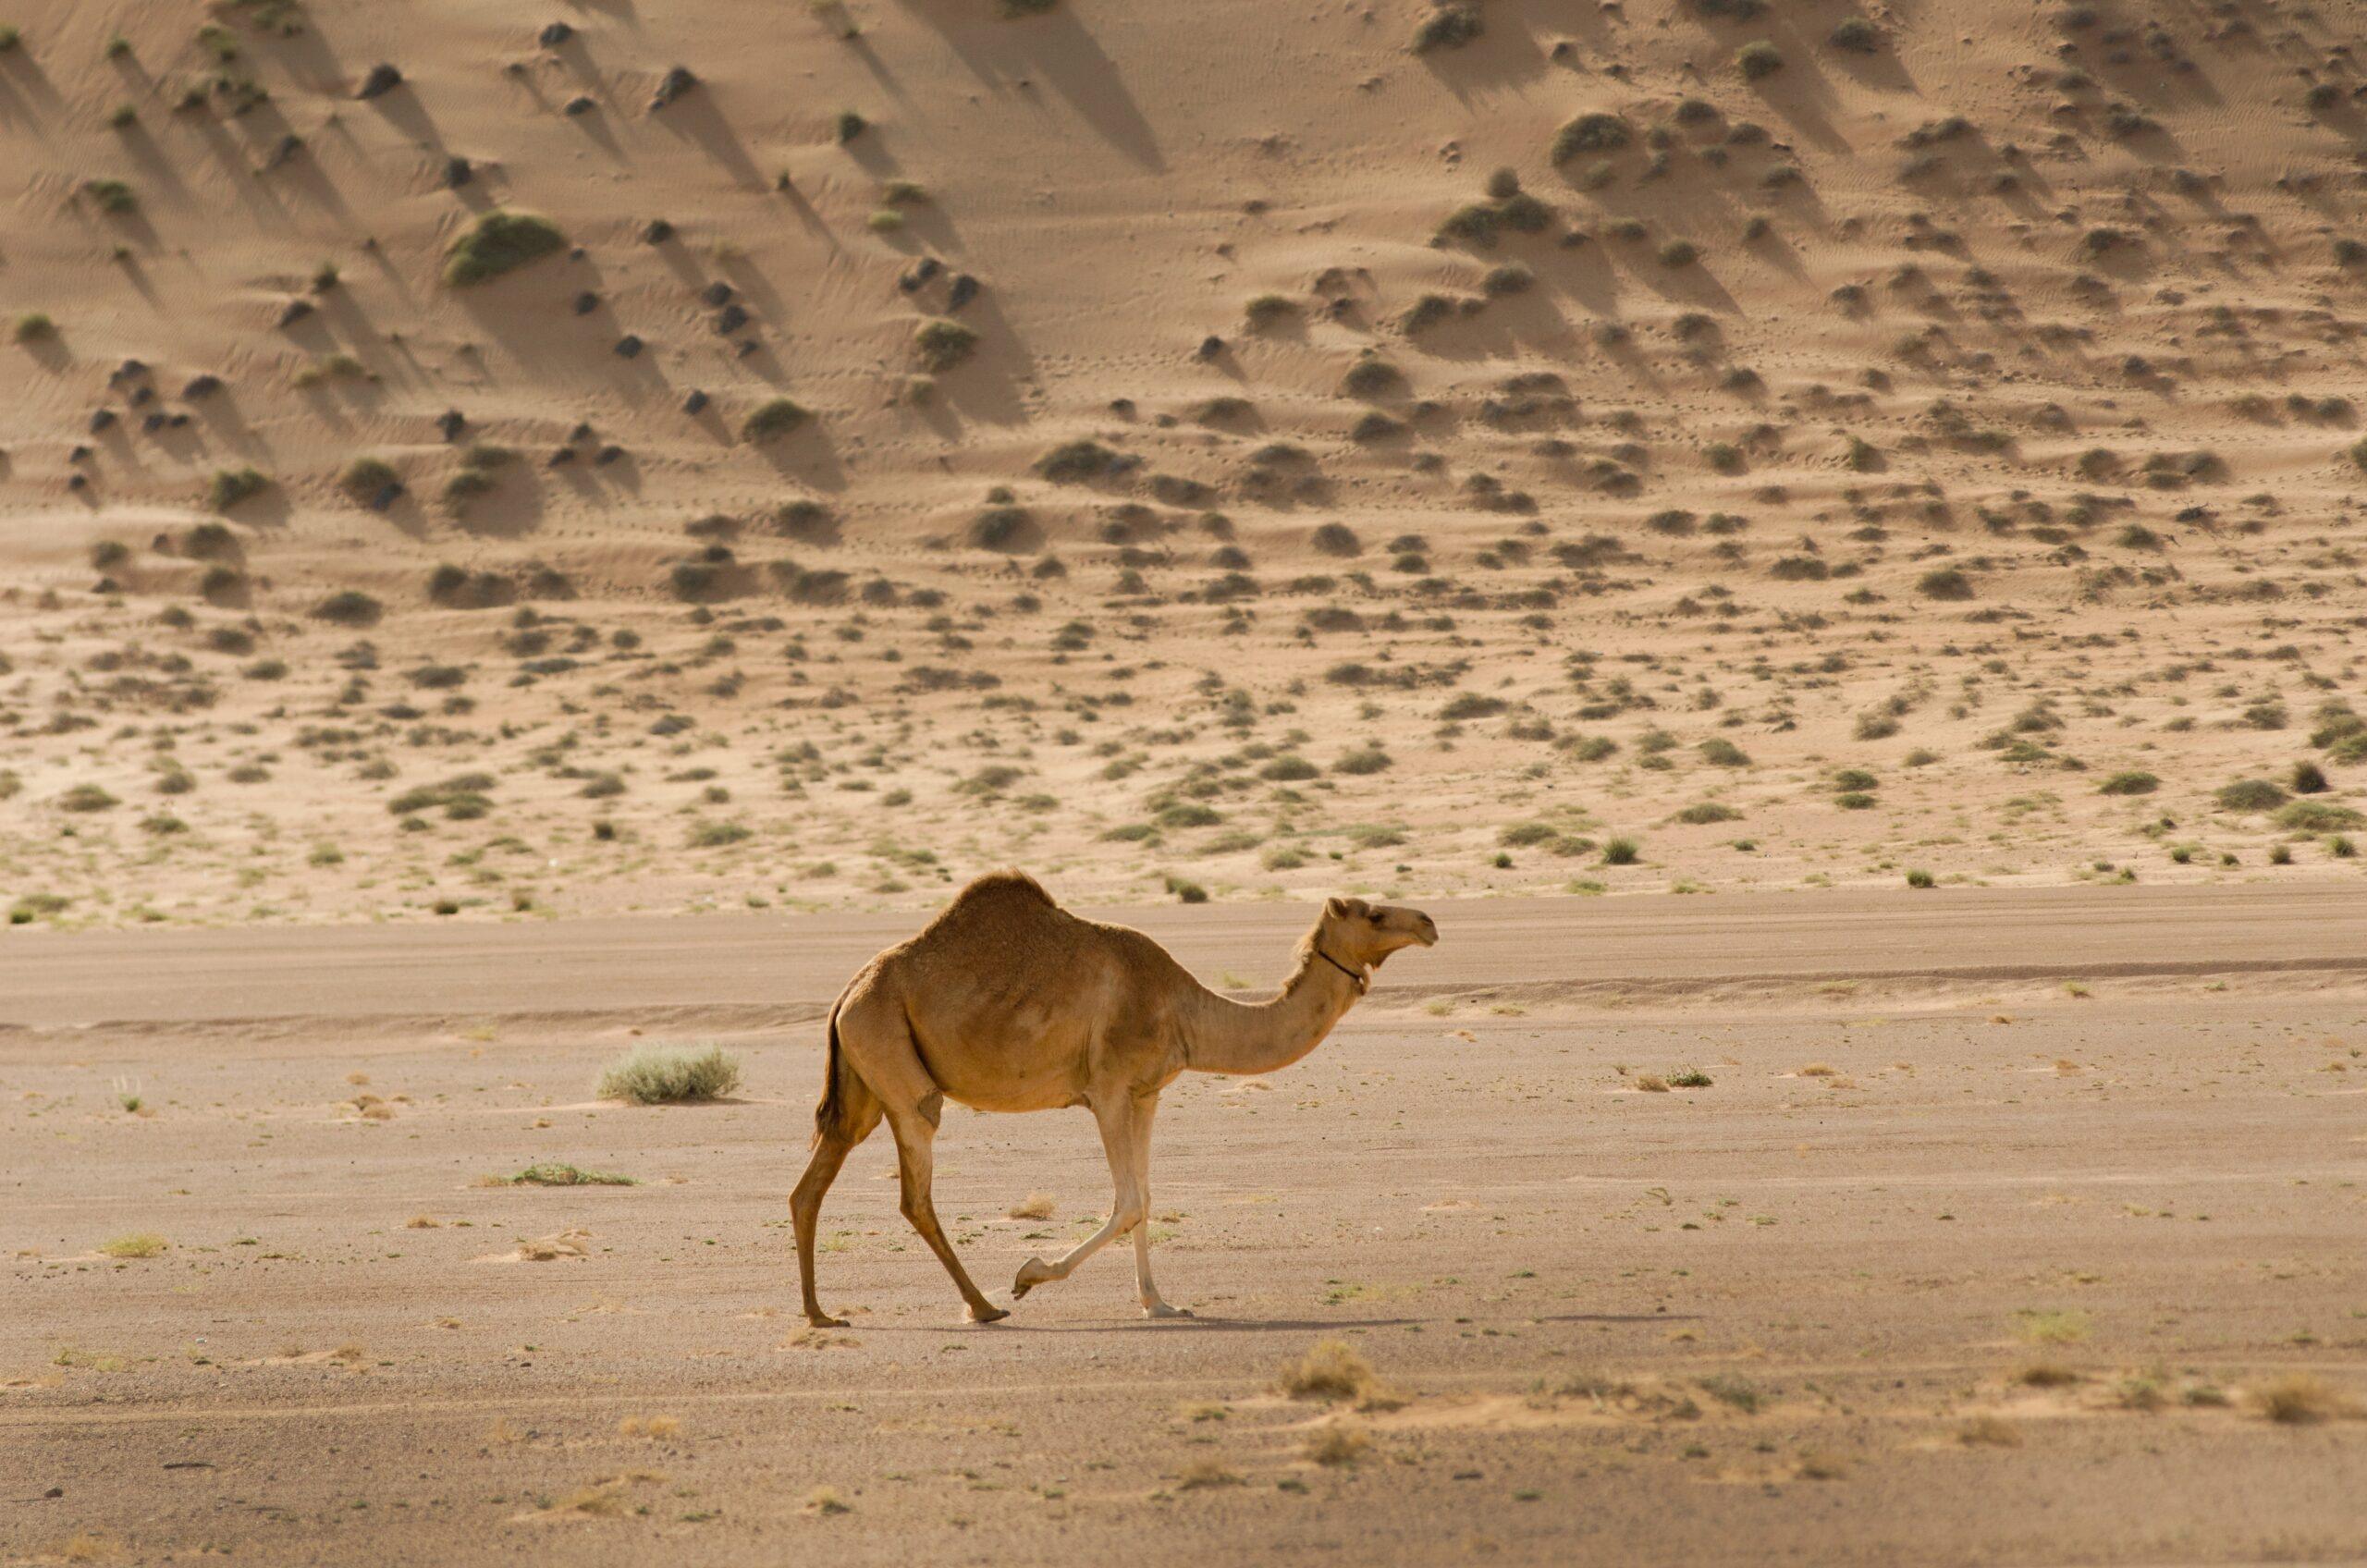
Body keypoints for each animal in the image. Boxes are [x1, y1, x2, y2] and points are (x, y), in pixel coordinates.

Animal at [790, 871, 1438, 1325]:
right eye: (1375, 913)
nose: (1430, 922)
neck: (1183, 1008)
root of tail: (849, 990)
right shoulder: (1106, 1090)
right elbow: (1126, 1202)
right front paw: (1029, 1273)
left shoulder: (1146, 1094)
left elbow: (1146, 1200)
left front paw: (1160, 1303)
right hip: (894, 1062)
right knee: (915, 1187)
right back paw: (985, 1306)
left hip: (863, 1079)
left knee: (813, 1182)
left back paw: (822, 1315)